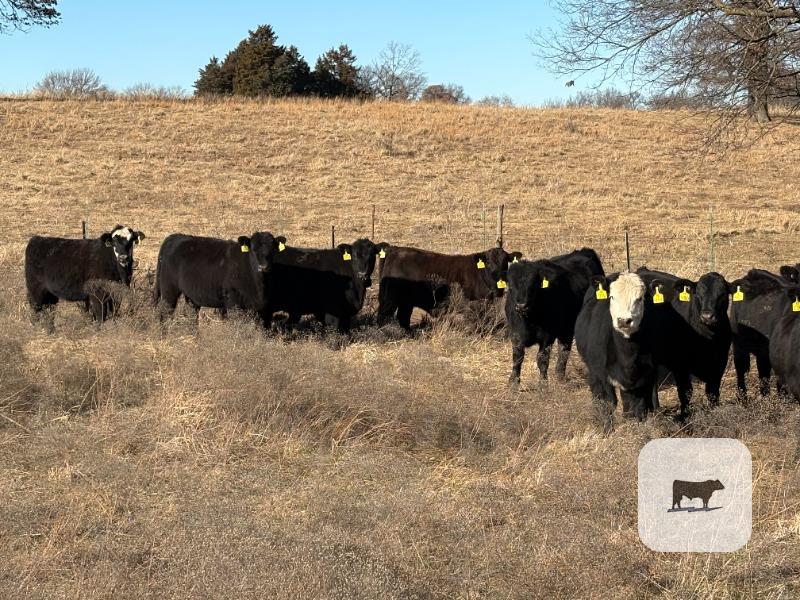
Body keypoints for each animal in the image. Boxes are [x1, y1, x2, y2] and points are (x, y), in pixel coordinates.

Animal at [153, 232, 285, 325]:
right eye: (253, 249)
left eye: (272, 250)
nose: (263, 267)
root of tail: (174, 237)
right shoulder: (233, 301)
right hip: (169, 289)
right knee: (165, 313)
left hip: (191, 295)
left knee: (191, 315)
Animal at [377, 246, 522, 330]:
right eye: (488, 261)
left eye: (505, 261)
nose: (496, 273)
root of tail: (394, 249)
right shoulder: (473, 305)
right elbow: (475, 323)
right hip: (390, 299)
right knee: (384, 316)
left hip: (406, 301)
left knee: (403, 317)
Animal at [505, 248, 604, 389]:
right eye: (511, 287)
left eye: (533, 286)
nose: (521, 305)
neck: (528, 320)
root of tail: (583, 251)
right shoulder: (515, 335)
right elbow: (517, 357)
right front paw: (513, 382)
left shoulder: (547, 336)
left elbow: (542, 359)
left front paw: (543, 384)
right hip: (566, 328)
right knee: (564, 348)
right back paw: (559, 376)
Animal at [574, 272, 658, 432]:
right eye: (612, 297)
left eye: (640, 298)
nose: (624, 321)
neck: (627, 356)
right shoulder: (600, 375)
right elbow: (607, 404)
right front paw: (607, 431)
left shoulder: (643, 377)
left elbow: (638, 407)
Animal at [635, 268, 732, 418]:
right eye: (698, 294)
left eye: (722, 294)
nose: (707, 316)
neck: (708, 339)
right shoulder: (680, 365)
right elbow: (686, 392)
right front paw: (684, 416)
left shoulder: (720, 362)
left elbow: (712, 393)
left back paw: (656, 409)